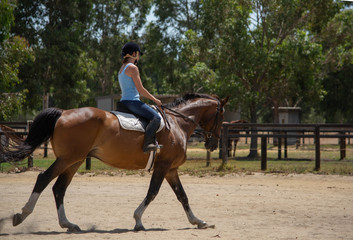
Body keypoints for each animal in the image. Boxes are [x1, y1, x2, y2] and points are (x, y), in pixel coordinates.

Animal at [0, 93, 228, 231]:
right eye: (221, 114)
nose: (213, 143)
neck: (177, 123)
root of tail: (63, 113)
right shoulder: (163, 166)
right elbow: (152, 192)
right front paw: (138, 220)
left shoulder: (171, 169)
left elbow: (183, 196)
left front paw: (198, 221)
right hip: (68, 158)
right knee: (43, 178)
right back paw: (22, 215)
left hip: (75, 160)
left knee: (59, 187)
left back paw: (68, 224)